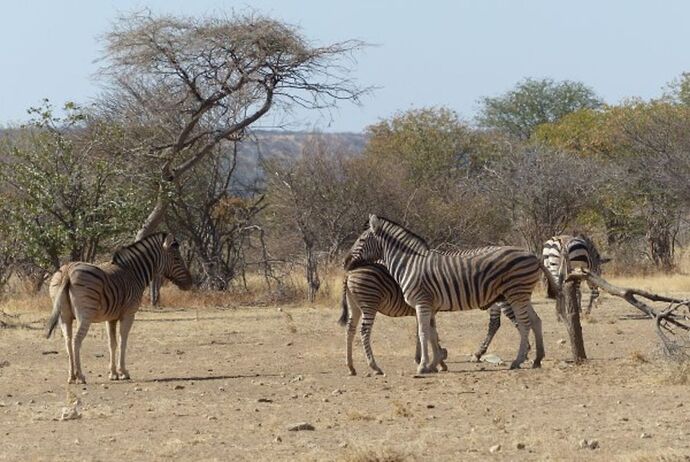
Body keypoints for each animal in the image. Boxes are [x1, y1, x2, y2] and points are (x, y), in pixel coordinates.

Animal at [46, 233, 192, 384]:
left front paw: (113, 373)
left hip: (65, 316)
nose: (190, 282)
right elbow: (123, 342)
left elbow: (112, 343)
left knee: (68, 341)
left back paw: (71, 376)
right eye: (177, 258)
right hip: (84, 316)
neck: (134, 273)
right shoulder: (128, 314)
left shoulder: (111, 318)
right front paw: (123, 372)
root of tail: (68, 271)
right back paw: (80, 376)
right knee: (76, 340)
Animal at [346, 215, 556, 374]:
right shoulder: (429, 306)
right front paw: (434, 363)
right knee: (536, 321)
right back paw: (537, 359)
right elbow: (432, 334)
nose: (345, 262)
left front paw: (423, 366)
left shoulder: (422, 303)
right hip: (521, 295)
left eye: (361, 240)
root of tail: (533, 255)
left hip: (515, 293)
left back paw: (518, 360)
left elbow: (423, 333)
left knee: (524, 324)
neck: (410, 264)